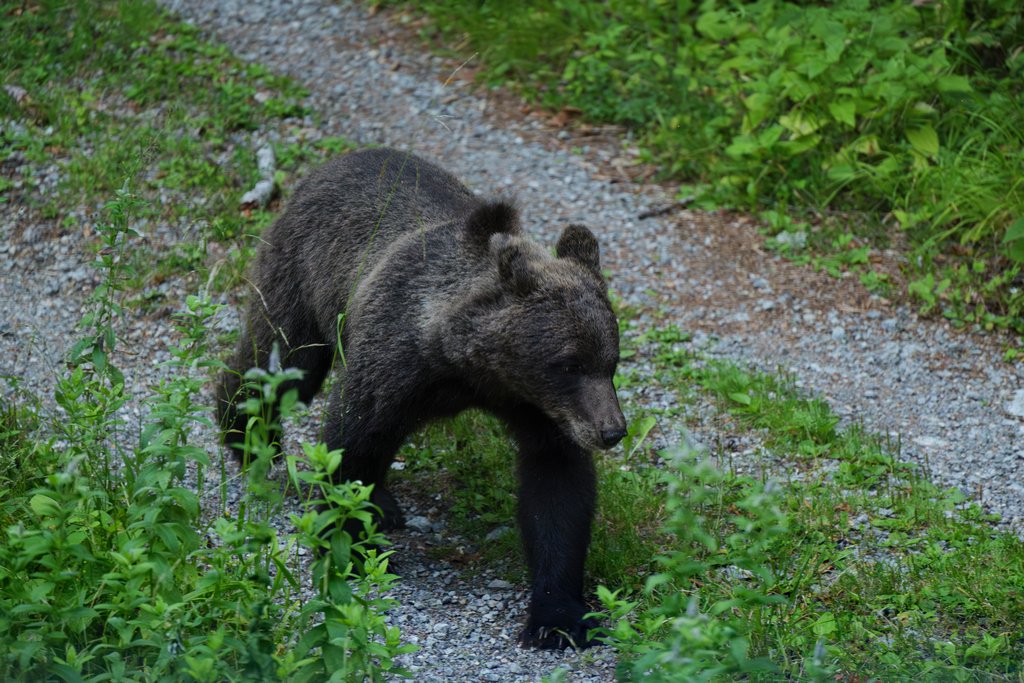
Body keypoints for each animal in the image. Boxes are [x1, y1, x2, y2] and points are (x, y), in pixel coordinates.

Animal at [217, 147, 627, 649]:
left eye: (610, 362)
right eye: (569, 363)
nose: (612, 430)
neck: (470, 367)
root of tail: (330, 164)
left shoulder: (542, 410)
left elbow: (558, 489)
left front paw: (558, 618)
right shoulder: (396, 360)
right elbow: (352, 439)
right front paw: (351, 547)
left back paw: (382, 502)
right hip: (302, 273)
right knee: (282, 358)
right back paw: (247, 435)